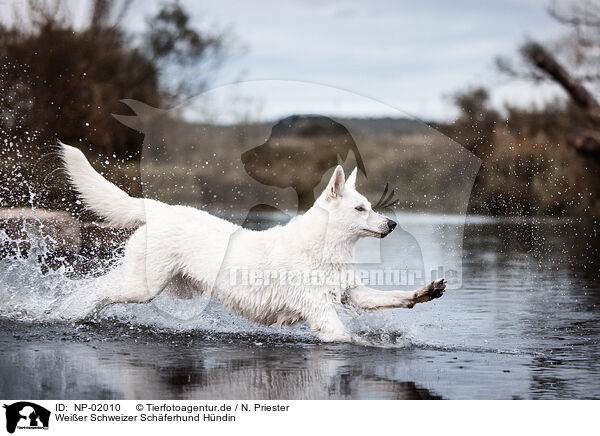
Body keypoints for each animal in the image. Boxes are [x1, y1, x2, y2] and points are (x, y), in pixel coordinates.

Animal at [61, 143, 446, 340]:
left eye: (370, 206)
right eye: (360, 208)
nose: (392, 224)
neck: (324, 249)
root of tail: (160, 209)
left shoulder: (354, 294)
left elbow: (393, 297)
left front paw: (424, 292)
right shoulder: (323, 314)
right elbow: (348, 338)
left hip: (171, 287)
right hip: (143, 286)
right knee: (95, 290)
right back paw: (62, 311)